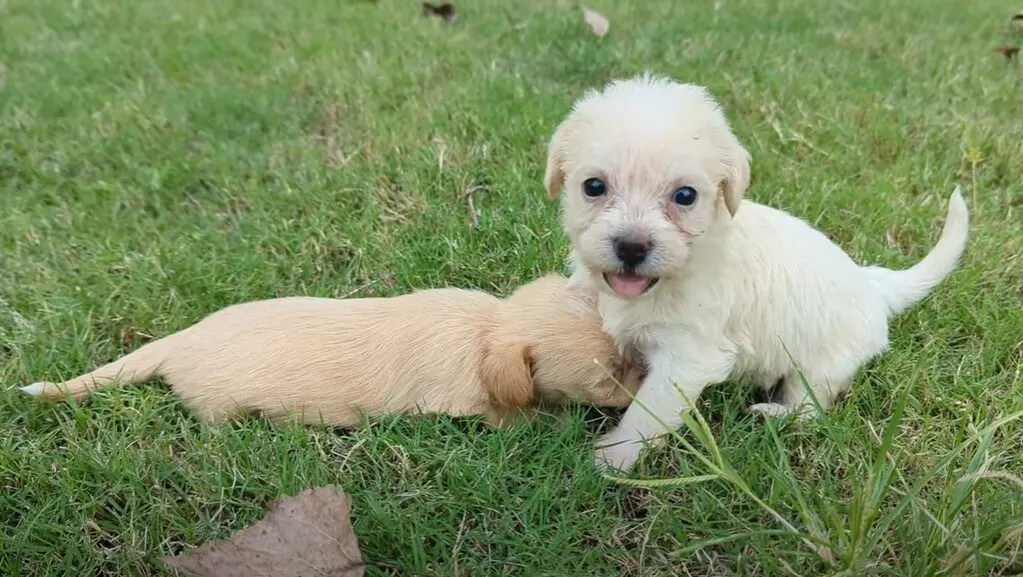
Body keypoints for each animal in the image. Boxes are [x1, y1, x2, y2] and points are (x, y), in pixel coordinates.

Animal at [544, 74, 965, 470]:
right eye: (593, 186)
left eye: (685, 196)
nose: (631, 247)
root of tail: (873, 283)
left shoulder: (686, 359)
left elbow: (647, 413)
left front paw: (612, 460)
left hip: (819, 367)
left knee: (810, 408)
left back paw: (772, 414)